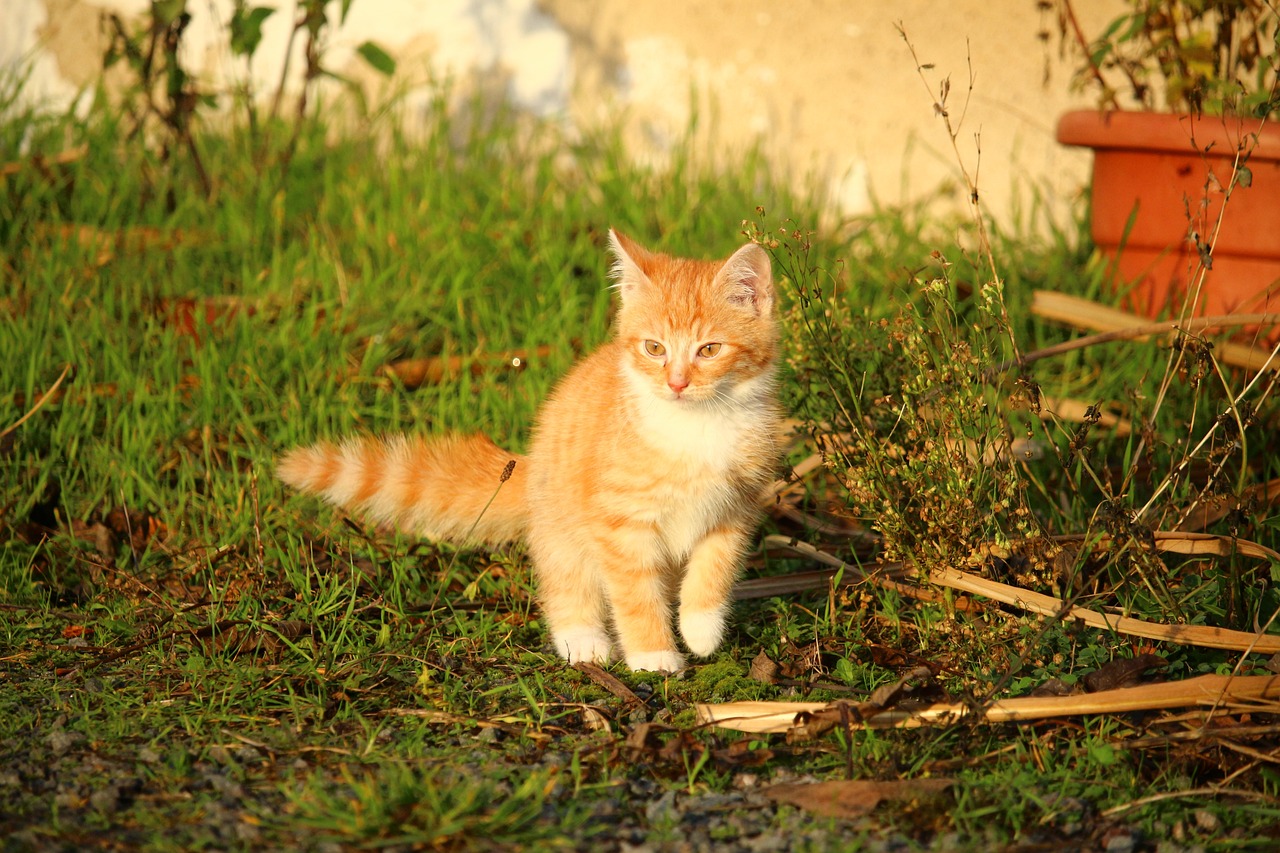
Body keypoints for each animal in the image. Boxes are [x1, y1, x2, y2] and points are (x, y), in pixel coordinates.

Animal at [277, 229, 778, 666]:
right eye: (654, 348)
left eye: (709, 350)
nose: (676, 383)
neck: (697, 426)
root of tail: (532, 464)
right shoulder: (619, 524)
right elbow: (635, 593)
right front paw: (653, 655)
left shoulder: (736, 508)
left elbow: (715, 569)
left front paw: (701, 628)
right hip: (561, 529)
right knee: (566, 580)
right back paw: (583, 639)